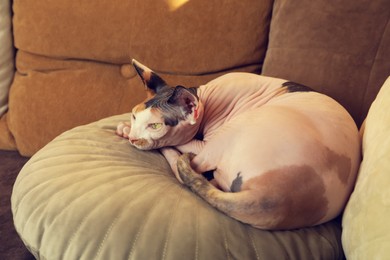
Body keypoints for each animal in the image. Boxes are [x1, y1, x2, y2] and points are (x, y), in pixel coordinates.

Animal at [116, 60, 360, 230]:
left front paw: (130, 133)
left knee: (190, 166)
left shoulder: (204, 142)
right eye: (134, 116)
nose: (133, 138)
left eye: (155, 126)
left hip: (237, 129)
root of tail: (276, 200)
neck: (205, 94)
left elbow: (184, 144)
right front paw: (126, 128)